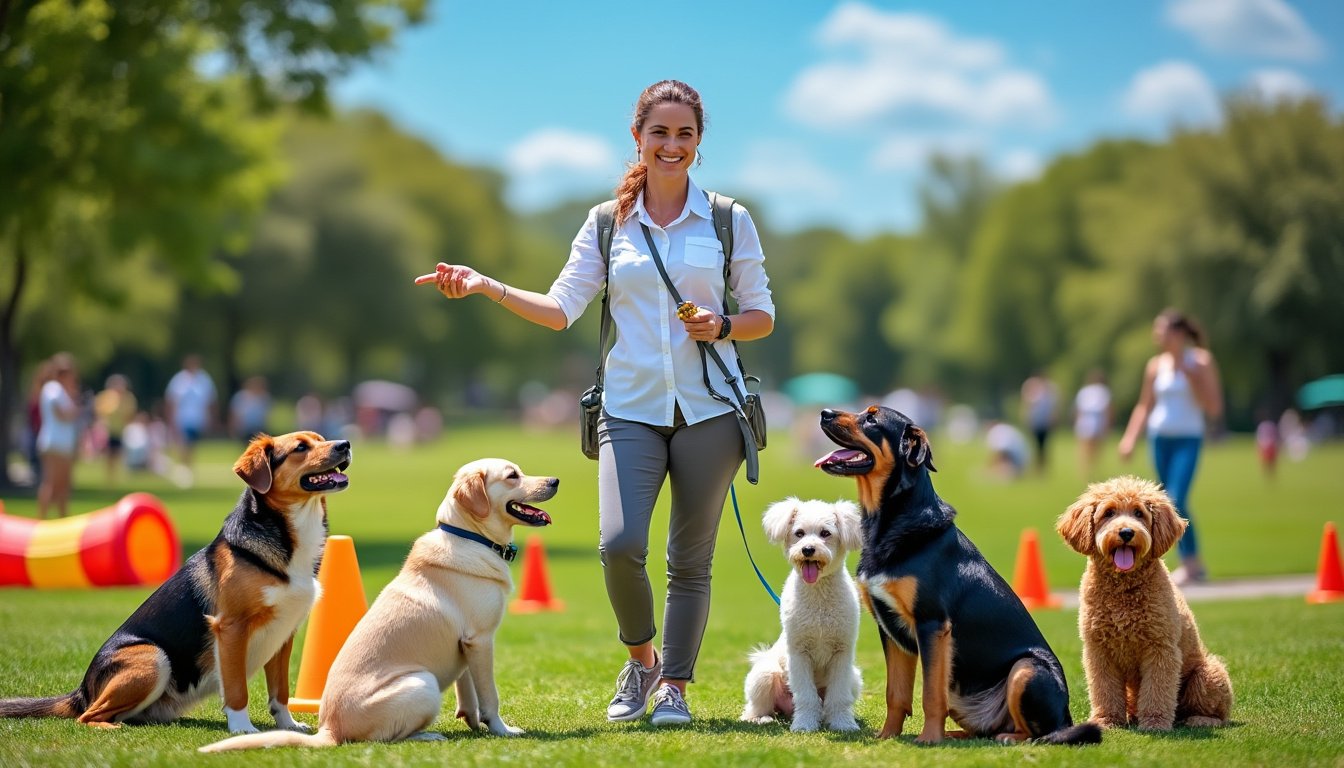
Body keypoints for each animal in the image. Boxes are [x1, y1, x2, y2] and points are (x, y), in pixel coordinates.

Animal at [0, 433, 352, 731]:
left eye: (321, 439)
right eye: (301, 447)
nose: (345, 444)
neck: (289, 535)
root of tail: (83, 690)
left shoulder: (283, 636)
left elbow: (280, 691)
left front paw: (288, 726)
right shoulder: (231, 627)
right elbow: (237, 689)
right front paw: (242, 730)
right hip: (154, 657)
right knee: (88, 716)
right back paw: (111, 727)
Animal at [741, 497, 865, 731]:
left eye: (825, 533)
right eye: (799, 533)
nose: (808, 549)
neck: (818, 598)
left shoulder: (842, 653)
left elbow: (839, 697)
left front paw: (843, 724)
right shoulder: (799, 652)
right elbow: (806, 696)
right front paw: (805, 724)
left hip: (854, 677)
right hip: (764, 674)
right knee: (755, 707)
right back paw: (761, 718)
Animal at [811, 408, 1096, 747]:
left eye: (871, 419)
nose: (825, 413)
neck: (890, 520)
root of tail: (1066, 716)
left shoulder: (932, 624)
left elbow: (930, 695)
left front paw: (928, 739)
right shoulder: (890, 629)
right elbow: (896, 694)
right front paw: (888, 736)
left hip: (1027, 668)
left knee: (1039, 732)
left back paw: (1004, 737)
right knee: (986, 728)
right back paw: (957, 733)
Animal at [1053, 476, 1231, 731]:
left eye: (1139, 513)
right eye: (1108, 513)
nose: (1127, 532)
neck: (1124, 590)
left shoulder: (1160, 649)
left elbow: (1157, 690)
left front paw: (1155, 723)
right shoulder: (1099, 651)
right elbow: (1104, 690)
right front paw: (1106, 720)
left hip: (1208, 675)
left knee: (1215, 712)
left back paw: (1200, 719)